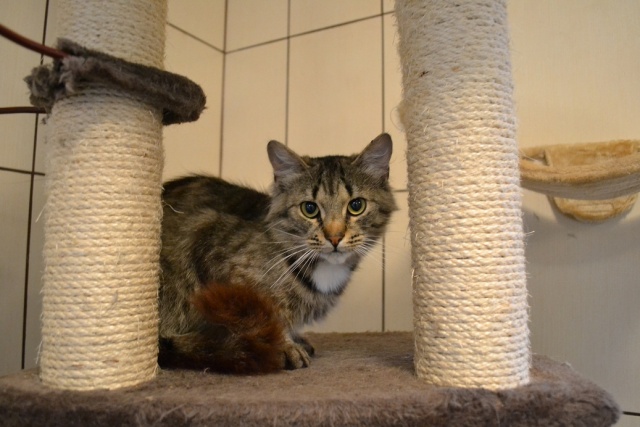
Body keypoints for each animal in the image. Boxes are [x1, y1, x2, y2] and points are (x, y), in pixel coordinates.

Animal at [158, 133, 397, 374]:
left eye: (356, 205)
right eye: (309, 209)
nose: (335, 237)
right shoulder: (213, 250)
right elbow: (262, 316)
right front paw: (283, 346)